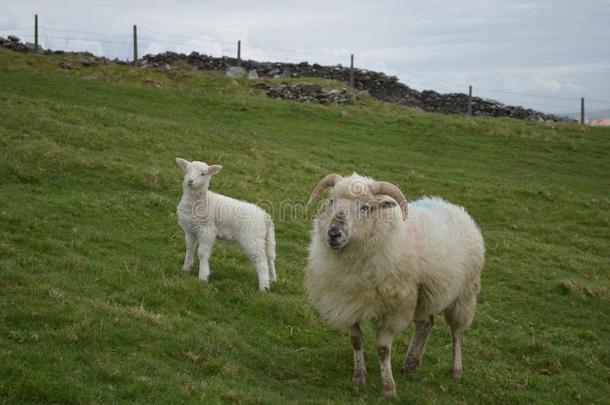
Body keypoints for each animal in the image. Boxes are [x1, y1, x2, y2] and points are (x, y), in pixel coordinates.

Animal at [172, 158, 274, 290]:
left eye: (203, 174)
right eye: (187, 170)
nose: (190, 181)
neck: (200, 201)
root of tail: (265, 216)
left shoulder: (207, 230)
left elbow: (202, 253)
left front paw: (203, 277)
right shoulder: (190, 230)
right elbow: (190, 249)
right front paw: (185, 269)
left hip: (252, 238)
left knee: (261, 261)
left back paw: (264, 287)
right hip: (267, 239)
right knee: (270, 258)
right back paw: (272, 280)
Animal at [304, 172, 484, 396]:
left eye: (365, 207)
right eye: (331, 201)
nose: (334, 233)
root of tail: (453, 207)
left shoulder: (393, 309)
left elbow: (383, 349)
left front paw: (389, 387)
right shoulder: (348, 301)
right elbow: (356, 341)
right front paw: (359, 377)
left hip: (464, 294)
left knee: (457, 333)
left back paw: (456, 370)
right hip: (426, 293)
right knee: (426, 324)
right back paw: (411, 364)